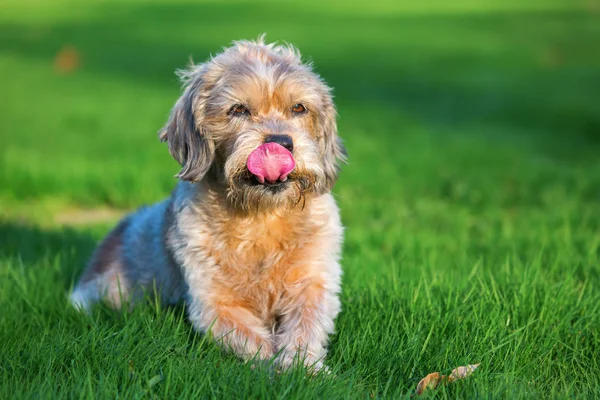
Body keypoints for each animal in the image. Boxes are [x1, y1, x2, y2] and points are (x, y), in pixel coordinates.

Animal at [71, 37, 346, 372]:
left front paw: (303, 368)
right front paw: (275, 370)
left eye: (299, 108)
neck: (260, 217)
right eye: (238, 109)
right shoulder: (215, 304)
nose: (280, 143)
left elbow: (305, 327)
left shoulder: (313, 284)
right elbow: (254, 340)